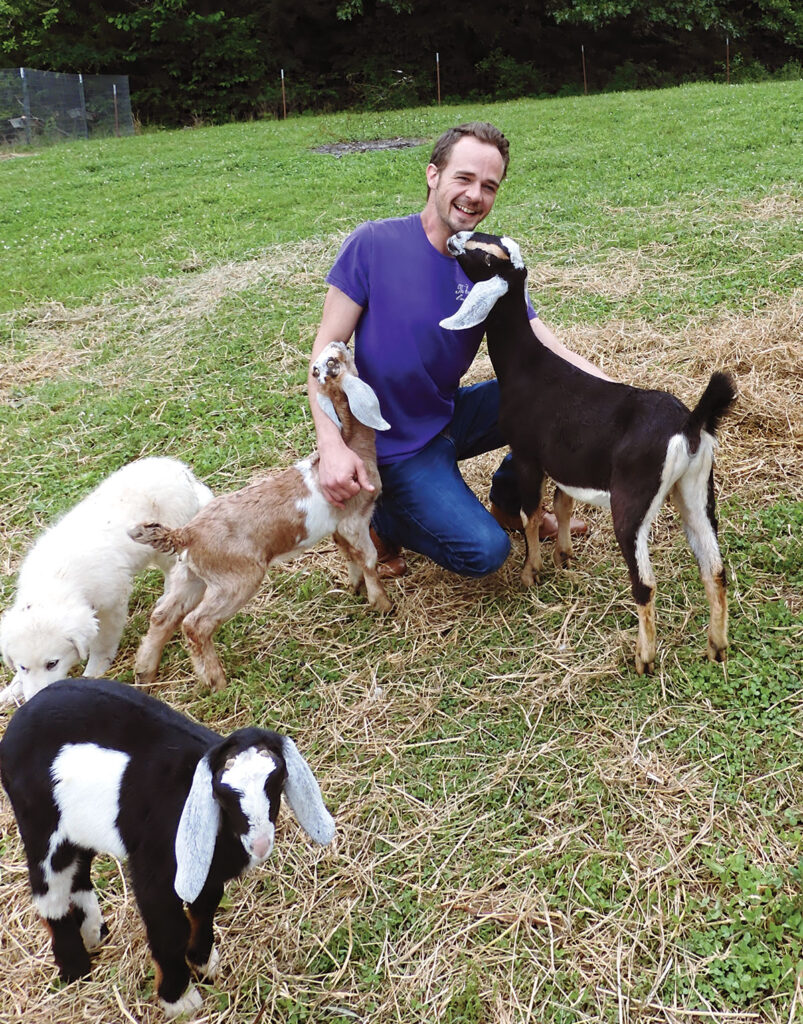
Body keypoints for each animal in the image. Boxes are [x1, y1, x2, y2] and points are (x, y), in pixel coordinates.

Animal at [0, 456, 212, 704]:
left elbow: (103, 641)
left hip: (165, 541)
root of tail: (181, 470)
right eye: (23, 667)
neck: (54, 581)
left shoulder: (111, 603)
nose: (35, 698)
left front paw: (94, 671)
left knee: (173, 573)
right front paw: (11, 690)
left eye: (52, 664)